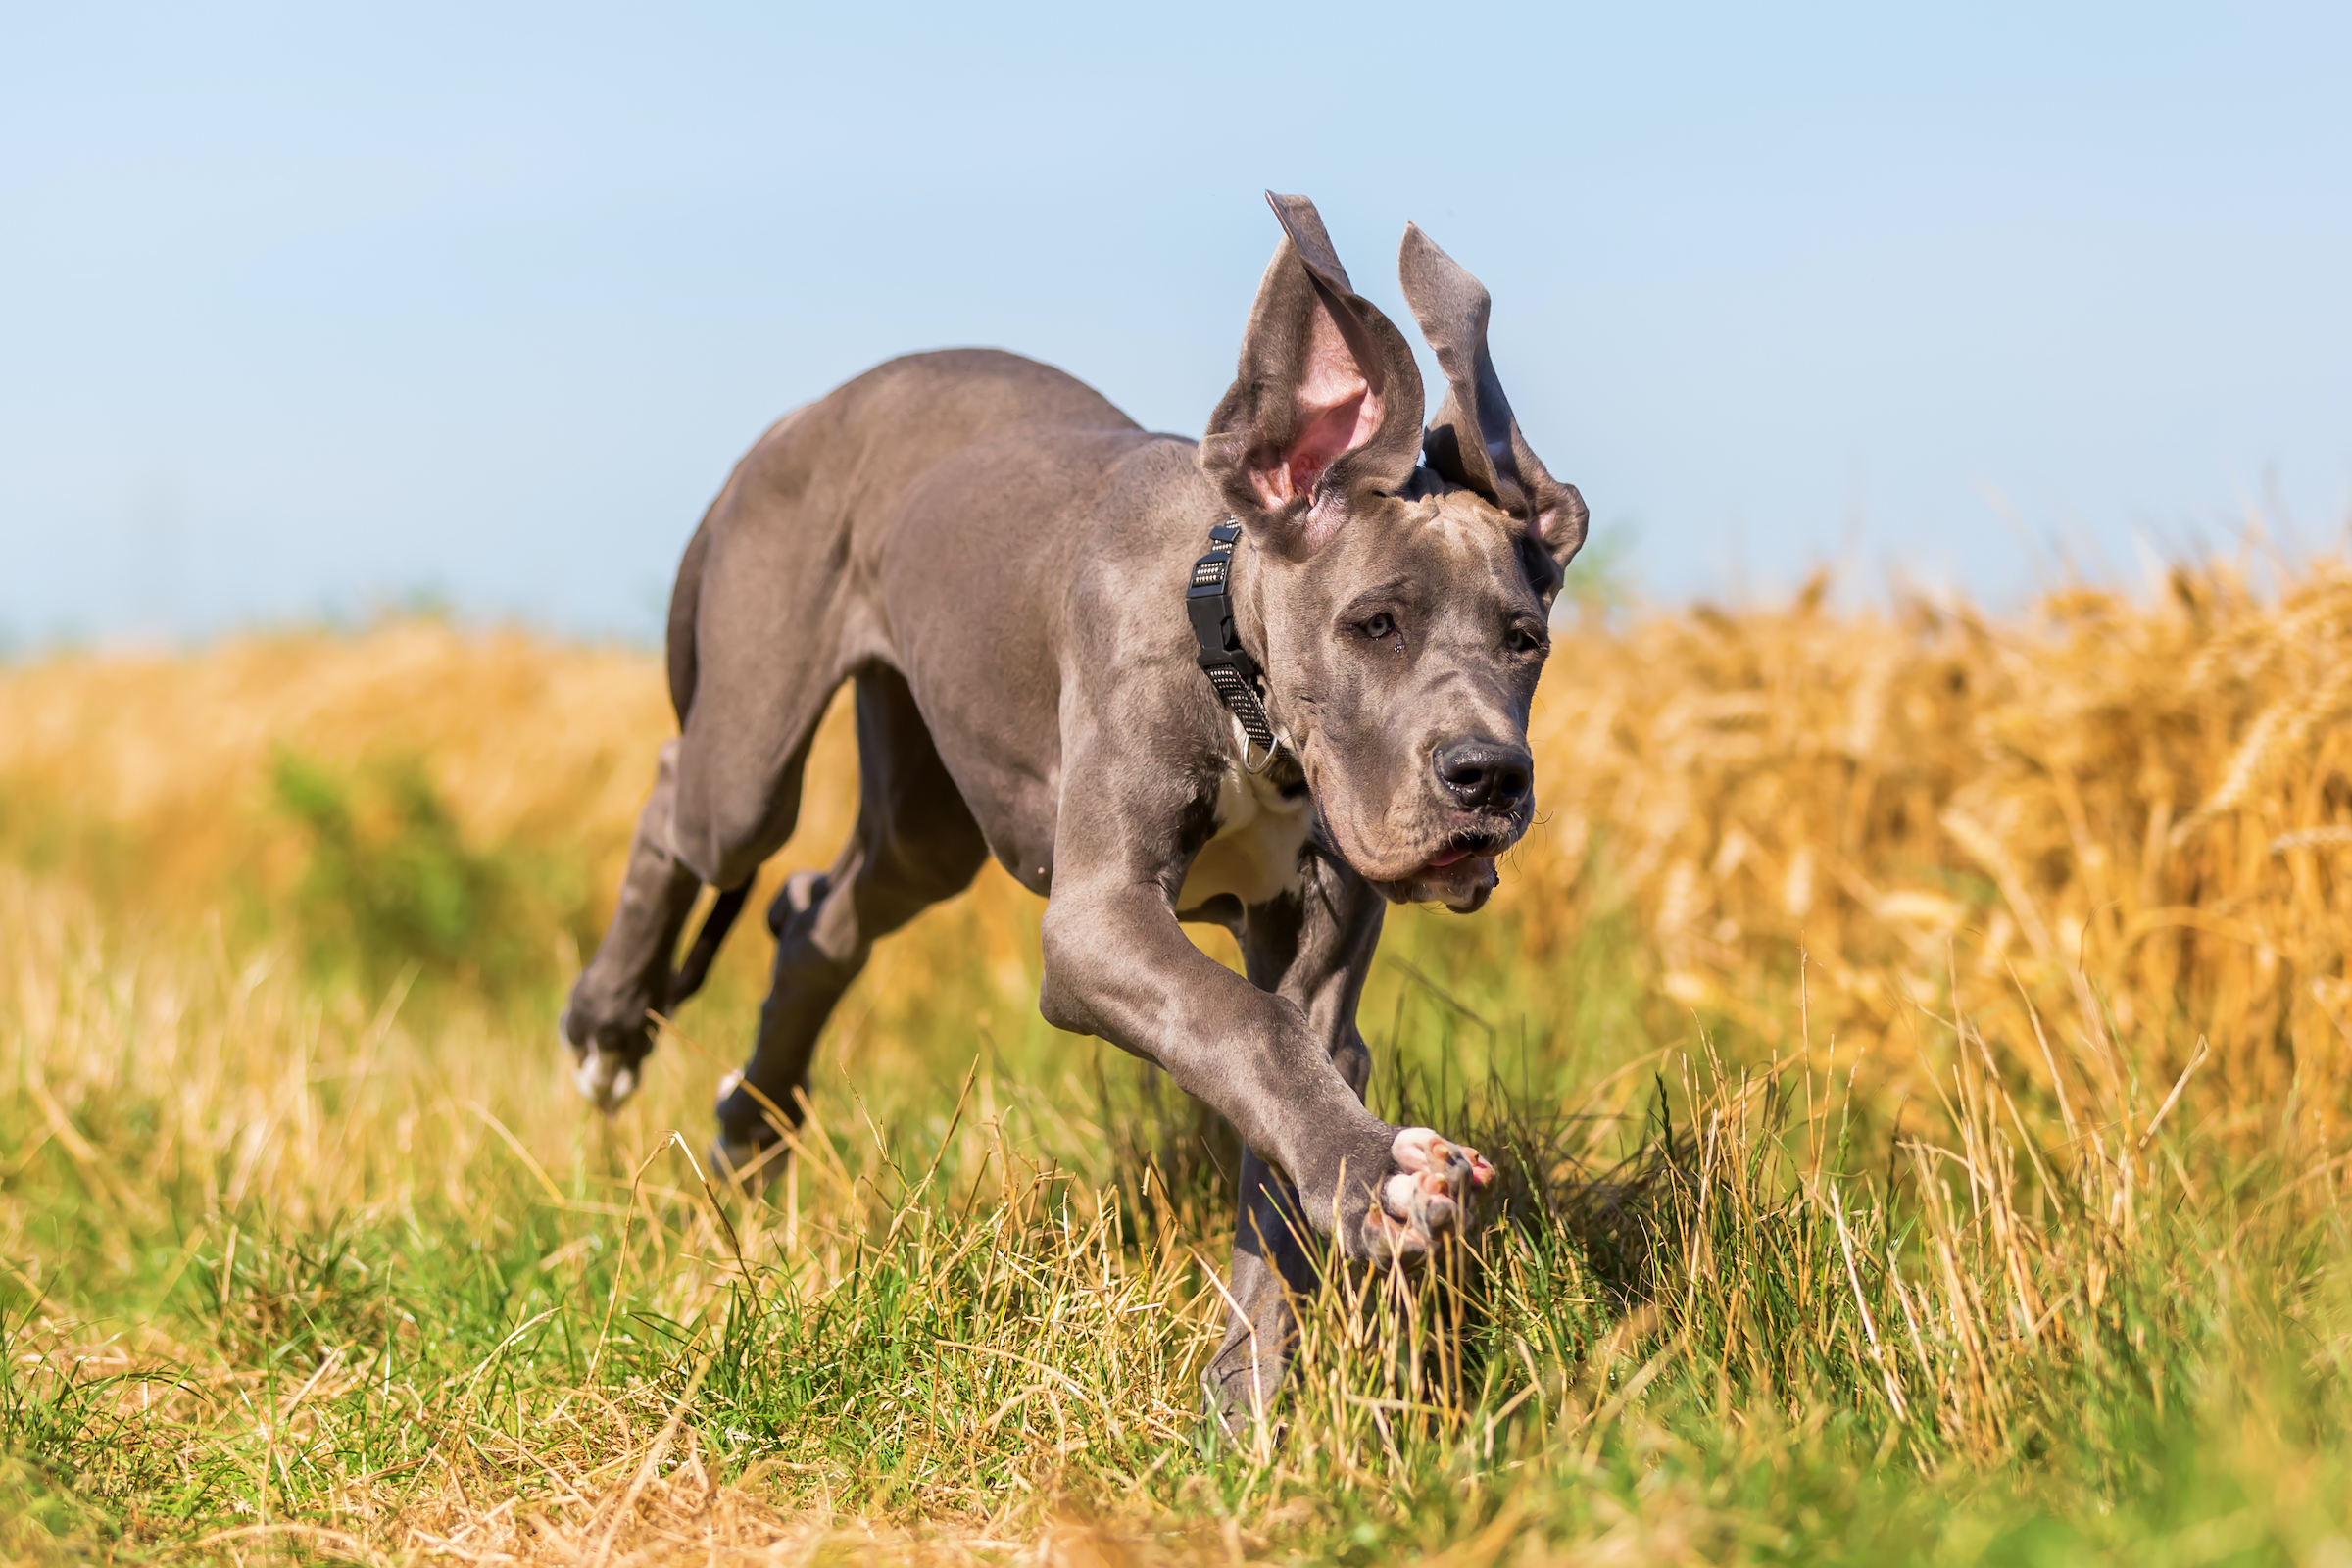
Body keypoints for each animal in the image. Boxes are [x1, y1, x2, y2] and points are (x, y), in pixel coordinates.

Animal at [560, 190, 1590, 1429]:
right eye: (1375, 624)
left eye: (1524, 640)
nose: (1490, 777)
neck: (1236, 674)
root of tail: (812, 409)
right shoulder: (1097, 924)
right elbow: (1241, 1025)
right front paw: (1368, 1179)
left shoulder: (1317, 974)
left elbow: (1280, 1099)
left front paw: (1248, 1400)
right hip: (753, 753)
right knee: (688, 805)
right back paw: (610, 1023)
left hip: (930, 820)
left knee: (819, 915)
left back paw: (753, 1128)